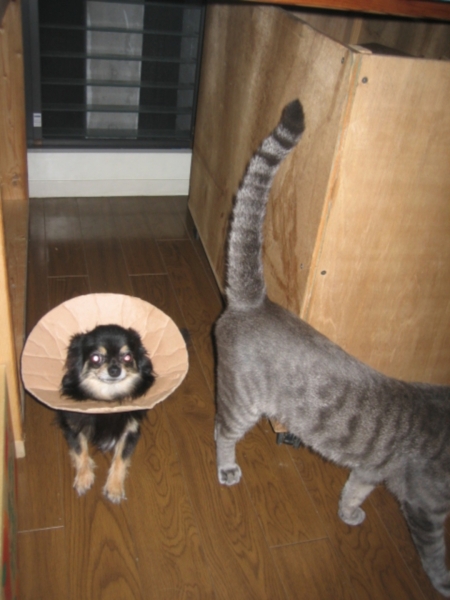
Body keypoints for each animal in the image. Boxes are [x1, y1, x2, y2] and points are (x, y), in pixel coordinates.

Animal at [58, 324, 155, 503]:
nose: (114, 370)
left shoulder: (130, 430)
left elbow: (121, 458)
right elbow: (79, 450)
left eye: (127, 357)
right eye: (96, 358)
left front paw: (114, 488)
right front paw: (83, 478)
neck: (107, 400)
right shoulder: (73, 425)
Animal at [214, 98, 450, 596]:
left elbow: (354, 489)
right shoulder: (427, 508)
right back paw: (226, 469)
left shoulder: (371, 470)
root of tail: (254, 300)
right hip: (242, 403)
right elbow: (436, 553)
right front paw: (444, 582)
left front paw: (348, 513)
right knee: (221, 433)